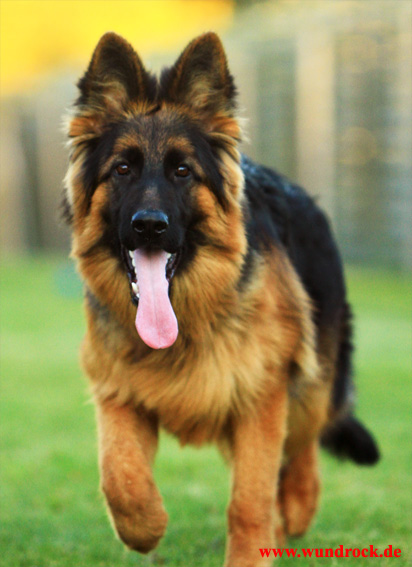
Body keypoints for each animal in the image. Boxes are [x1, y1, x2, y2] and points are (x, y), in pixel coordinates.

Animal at [62, 32, 379, 566]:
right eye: (122, 168)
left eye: (182, 171)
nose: (150, 225)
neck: (188, 316)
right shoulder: (119, 391)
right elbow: (121, 479)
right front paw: (146, 527)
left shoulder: (261, 396)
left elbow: (249, 499)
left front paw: (252, 552)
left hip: (312, 385)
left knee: (305, 446)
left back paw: (297, 508)